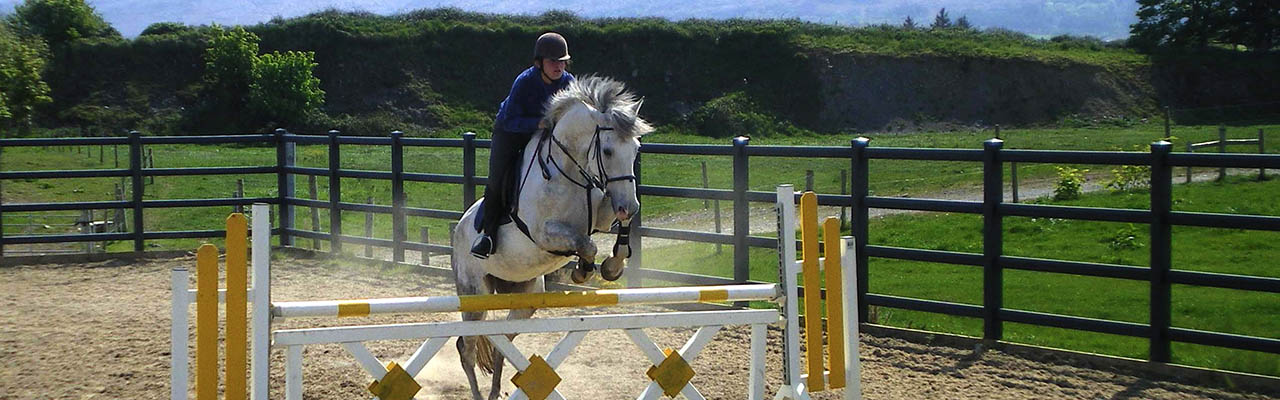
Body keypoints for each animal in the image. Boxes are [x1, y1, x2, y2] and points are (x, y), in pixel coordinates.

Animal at [450, 76, 650, 397]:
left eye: (635, 149)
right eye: (607, 151)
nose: (628, 204)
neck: (569, 171)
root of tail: (457, 230)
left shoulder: (604, 213)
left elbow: (616, 229)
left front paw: (612, 266)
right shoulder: (544, 234)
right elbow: (587, 244)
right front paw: (582, 271)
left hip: (525, 296)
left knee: (500, 342)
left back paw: (494, 391)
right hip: (474, 294)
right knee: (466, 348)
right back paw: (480, 394)